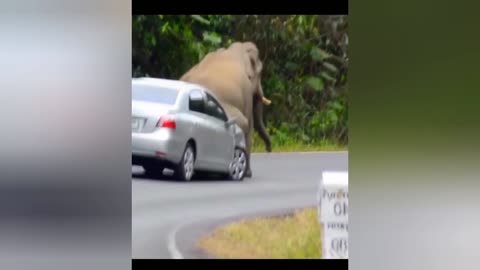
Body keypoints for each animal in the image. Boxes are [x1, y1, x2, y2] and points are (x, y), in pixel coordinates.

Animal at [178, 41, 272, 178]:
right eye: (260, 74)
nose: (268, 150)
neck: (238, 50)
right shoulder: (247, 92)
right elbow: (249, 126)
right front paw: (248, 174)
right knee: (243, 124)